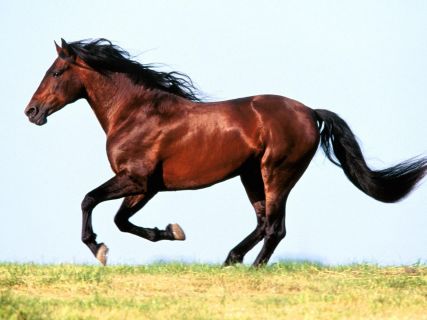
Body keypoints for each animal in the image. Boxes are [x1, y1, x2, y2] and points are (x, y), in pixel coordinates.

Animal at [25, 38, 426, 266]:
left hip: (277, 173)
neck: (136, 112)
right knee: (264, 223)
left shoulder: (136, 179)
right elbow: (121, 220)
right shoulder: (147, 187)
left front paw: (98, 249)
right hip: (251, 176)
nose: (31, 111)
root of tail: (310, 112)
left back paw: (250, 268)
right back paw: (231, 260)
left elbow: (90, 201)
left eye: (56, 72)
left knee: (275, 227)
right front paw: (171, 232)